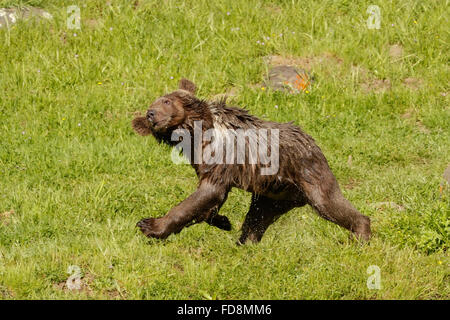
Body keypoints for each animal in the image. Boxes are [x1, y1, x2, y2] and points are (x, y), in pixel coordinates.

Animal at [132, 79, 370, 244]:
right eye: (151, 108)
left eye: (166, 100)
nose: (151, 114)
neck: (196, 135)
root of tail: (312, 141)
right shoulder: (205, 164)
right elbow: (209, 201)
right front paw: (223, 221)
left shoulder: (220, 158)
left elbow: (205, 194)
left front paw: (149, 225)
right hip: (275, 192)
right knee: (258, 217)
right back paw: (246, 242)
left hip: (306, 173)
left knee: (329, 202)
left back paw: (360, 234)